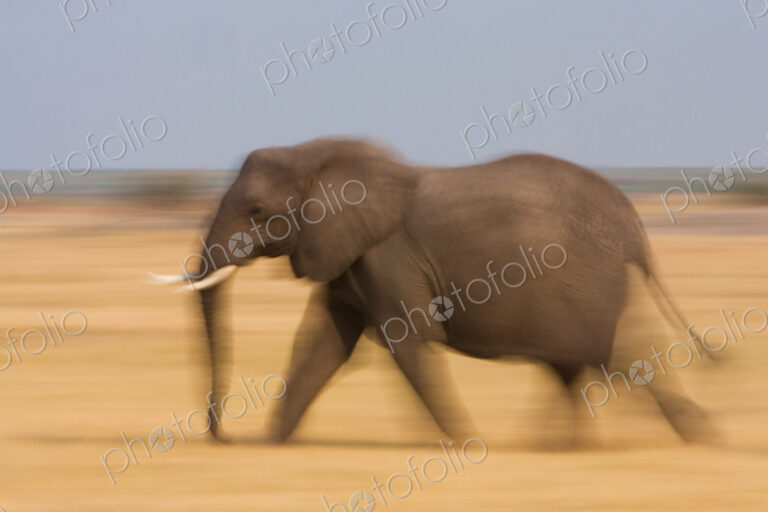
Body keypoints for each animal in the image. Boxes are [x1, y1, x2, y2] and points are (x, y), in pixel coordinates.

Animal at [151, 137, 716, 445]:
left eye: (257, 211)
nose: (224, 437)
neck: (321, 154)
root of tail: (633, 225)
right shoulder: (348, 253)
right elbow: (323, 343)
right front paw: (273, 444)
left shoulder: (386, 254)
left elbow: (408, 342)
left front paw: (467, 444)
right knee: (576, 369)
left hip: (588, 283)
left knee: (613, 361)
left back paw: (697, 437)